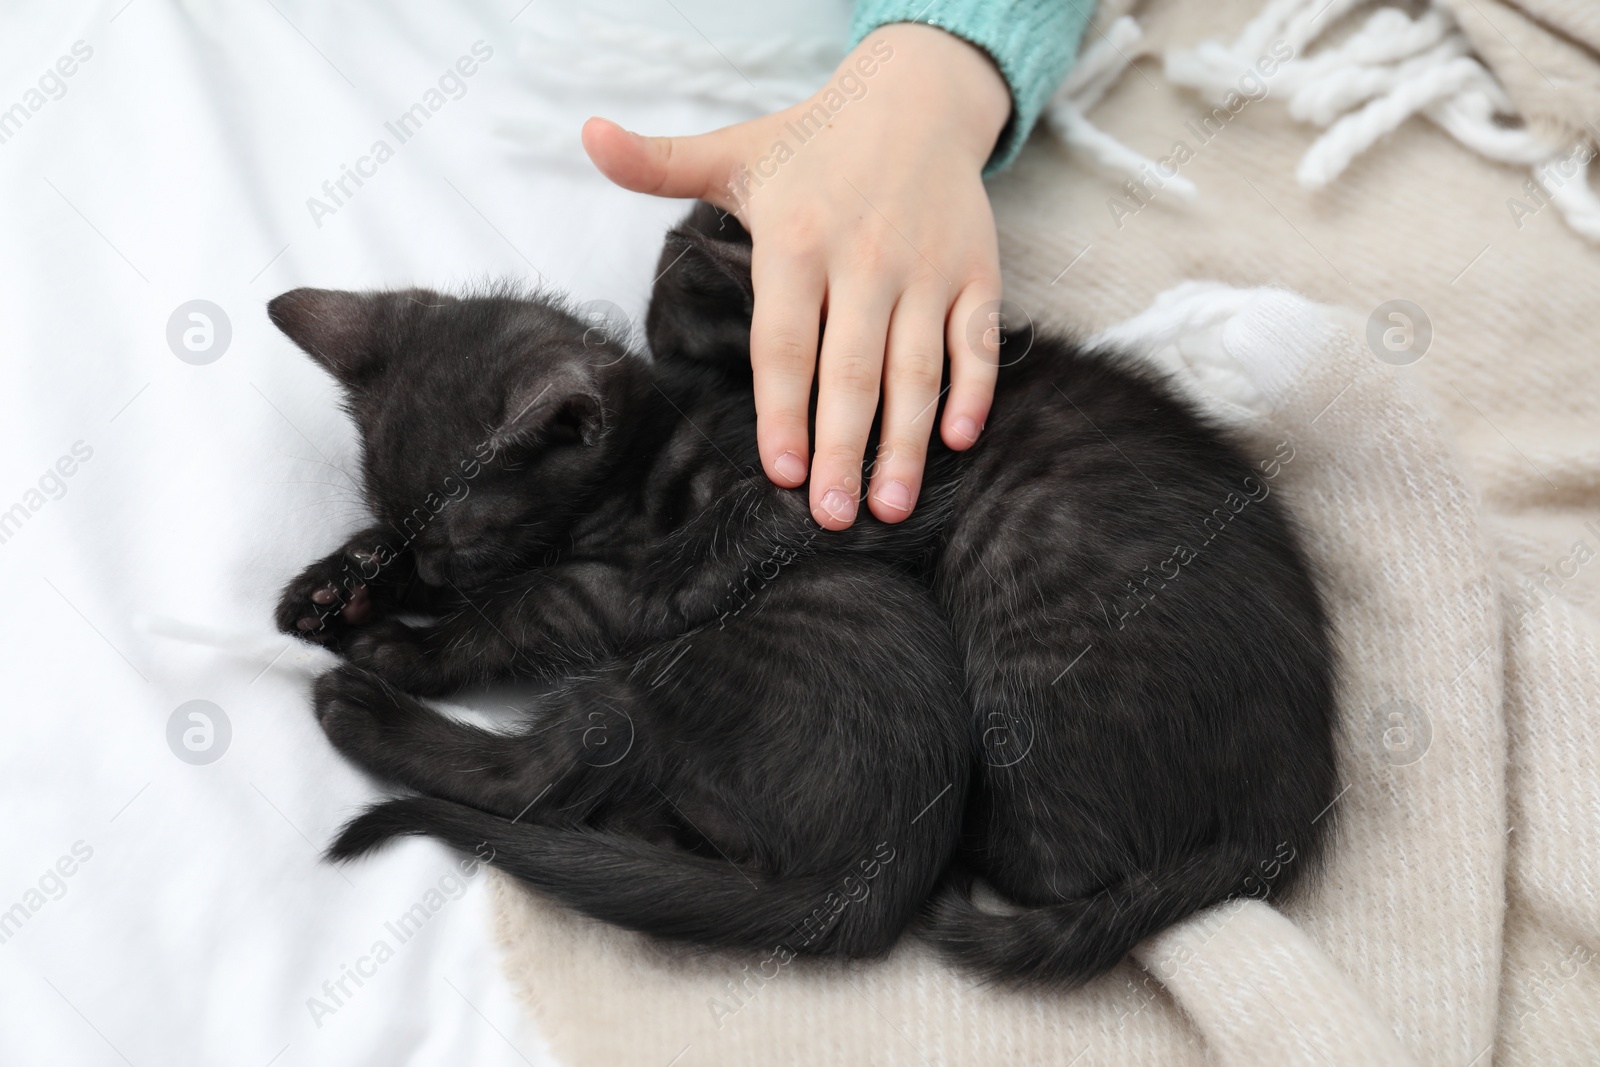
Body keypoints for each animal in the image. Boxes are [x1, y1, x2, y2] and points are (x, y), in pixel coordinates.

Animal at [275, 202, 1337, 985]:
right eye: (409, 526)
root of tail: (1297, 801)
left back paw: (364, 709)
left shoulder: (682, 558)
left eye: (466, 541)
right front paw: (341, 582)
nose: (428, 577)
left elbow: (541, 600)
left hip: (956, 642)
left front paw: (407, 640)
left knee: (543, 772)